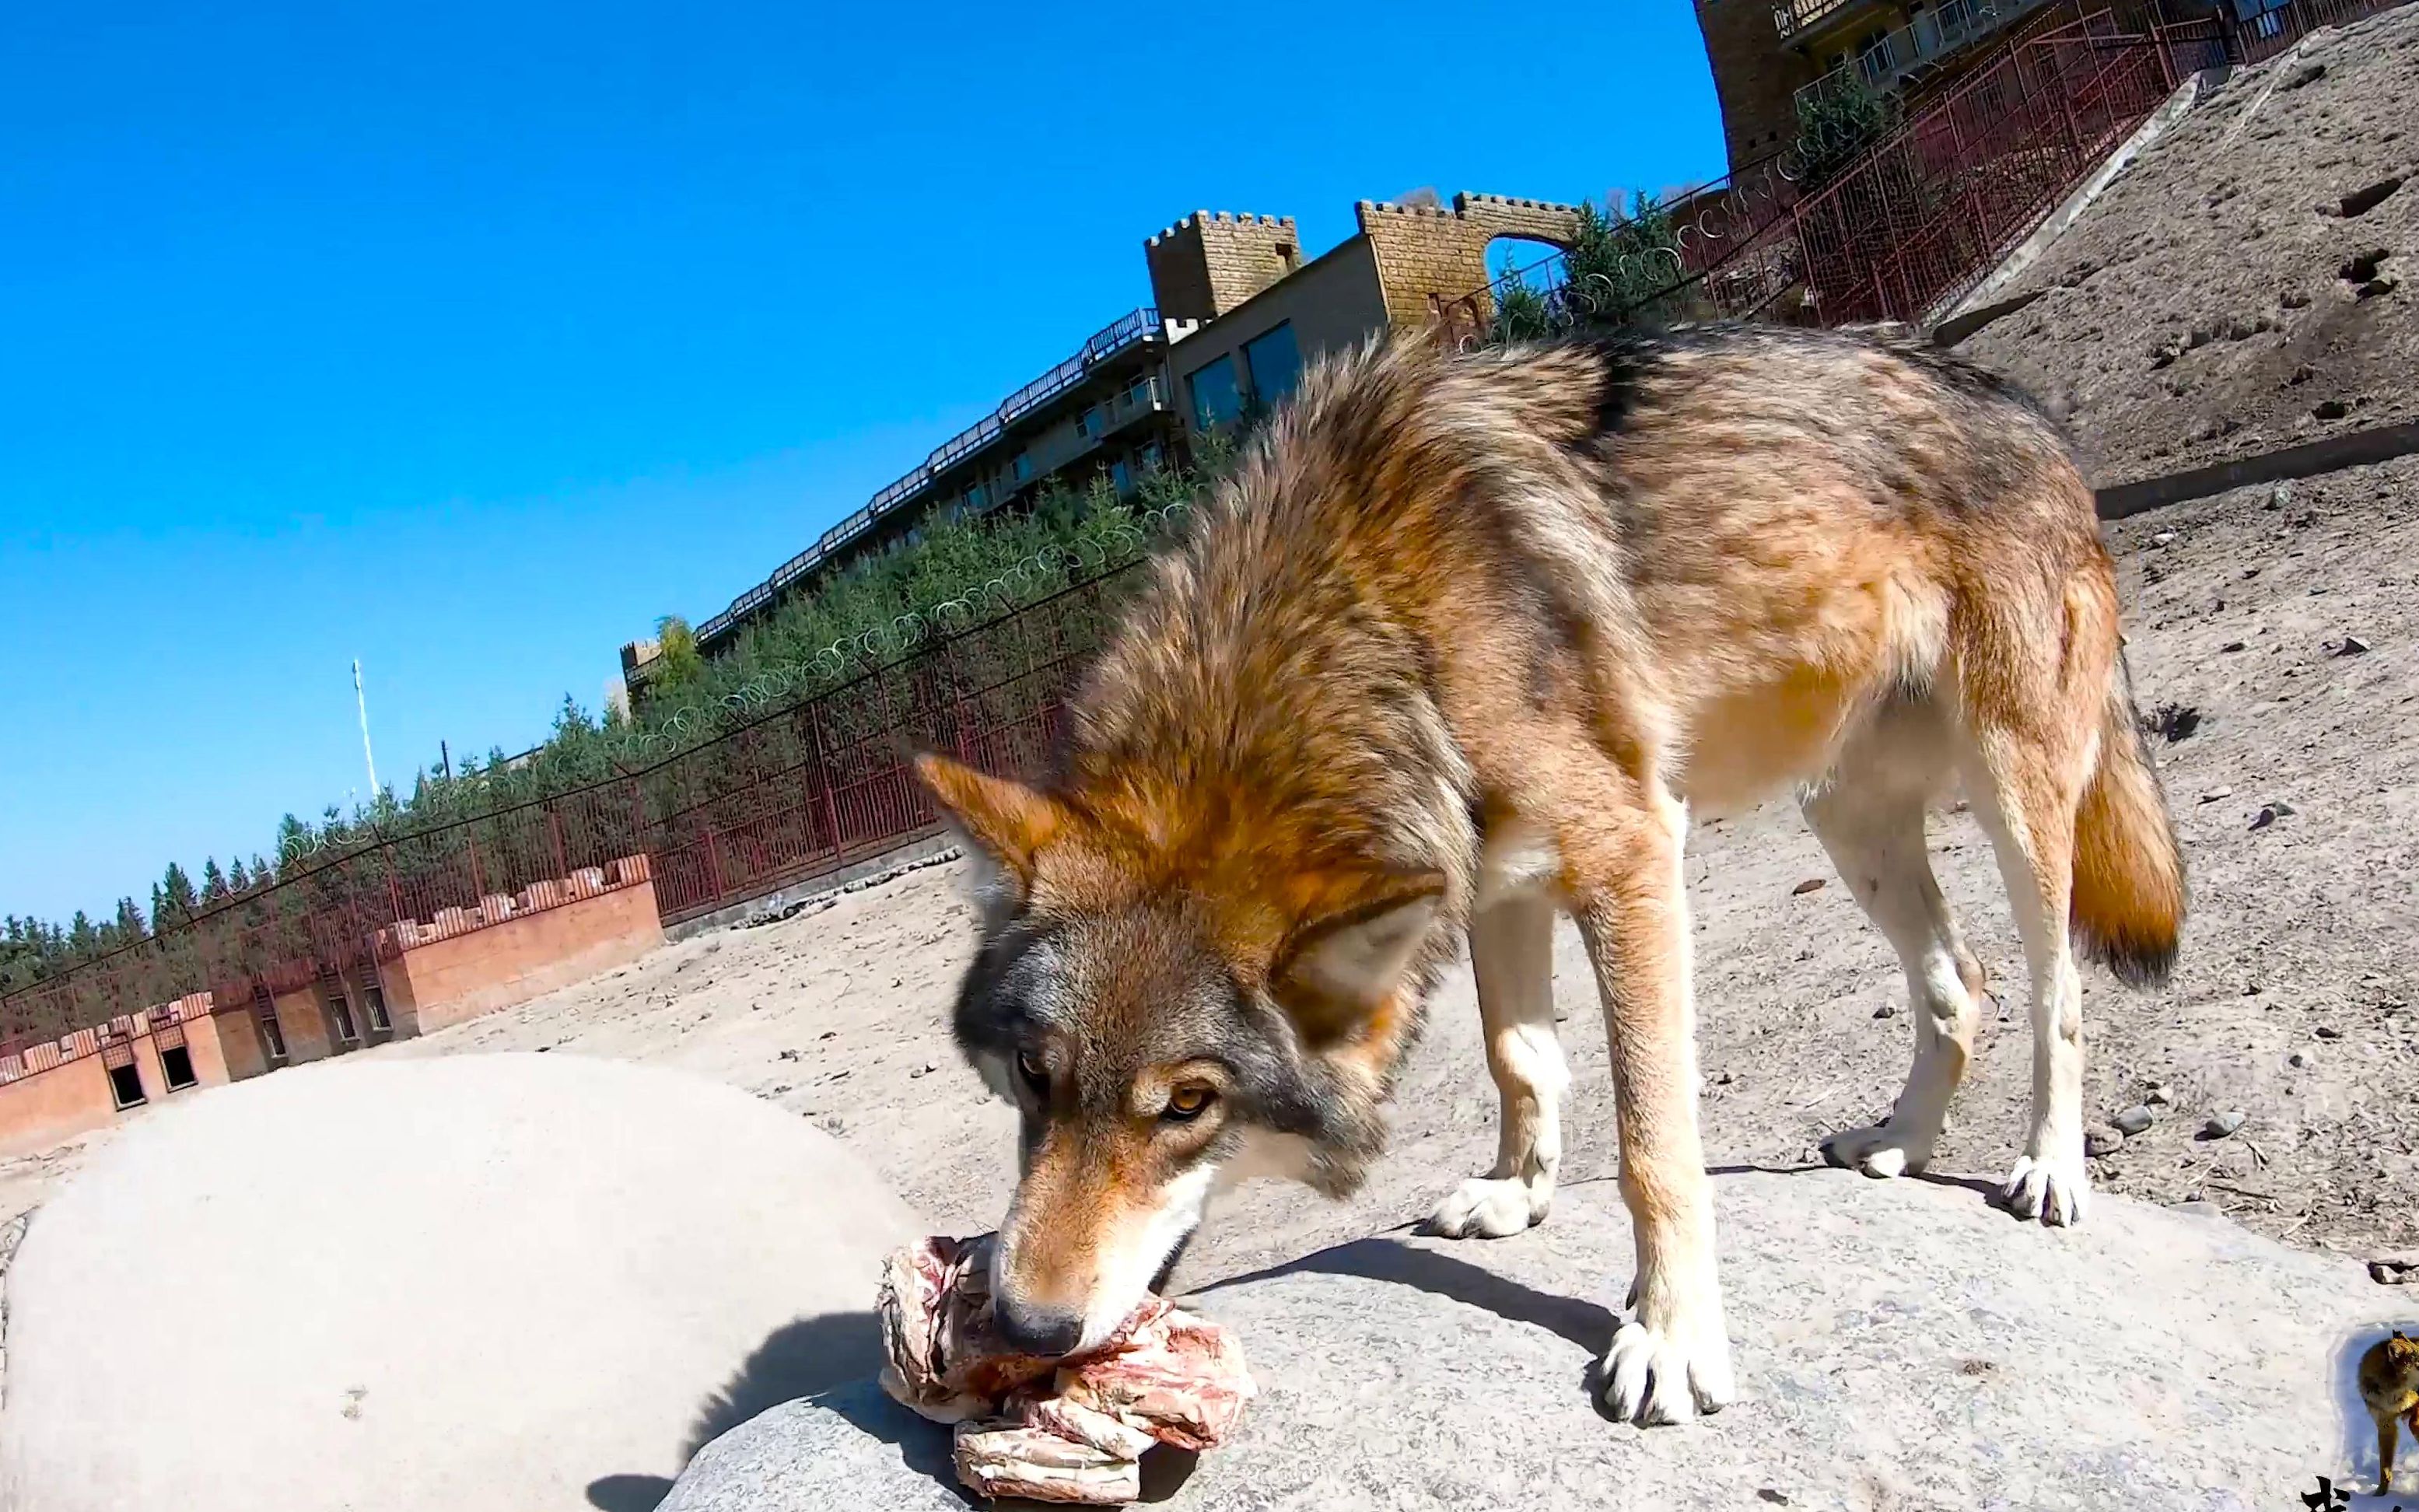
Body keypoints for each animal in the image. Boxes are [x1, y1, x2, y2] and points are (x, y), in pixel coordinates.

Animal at [909, 324, 2196, 1422]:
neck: (1384, 619)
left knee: (2052, 988)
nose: (1023, 1322)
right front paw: (1515, 1195)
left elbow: (1651, 1141)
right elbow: (1519, 1058)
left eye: (1188, 1106)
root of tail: (2026, 406)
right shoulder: (1488, 878)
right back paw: (1899, 1141)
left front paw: (1668, 1337)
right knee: (1957, 982)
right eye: (1033, 1075)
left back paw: (2046, 1169)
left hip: (2017, 794)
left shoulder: (1630, 851)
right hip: (1846, 819)